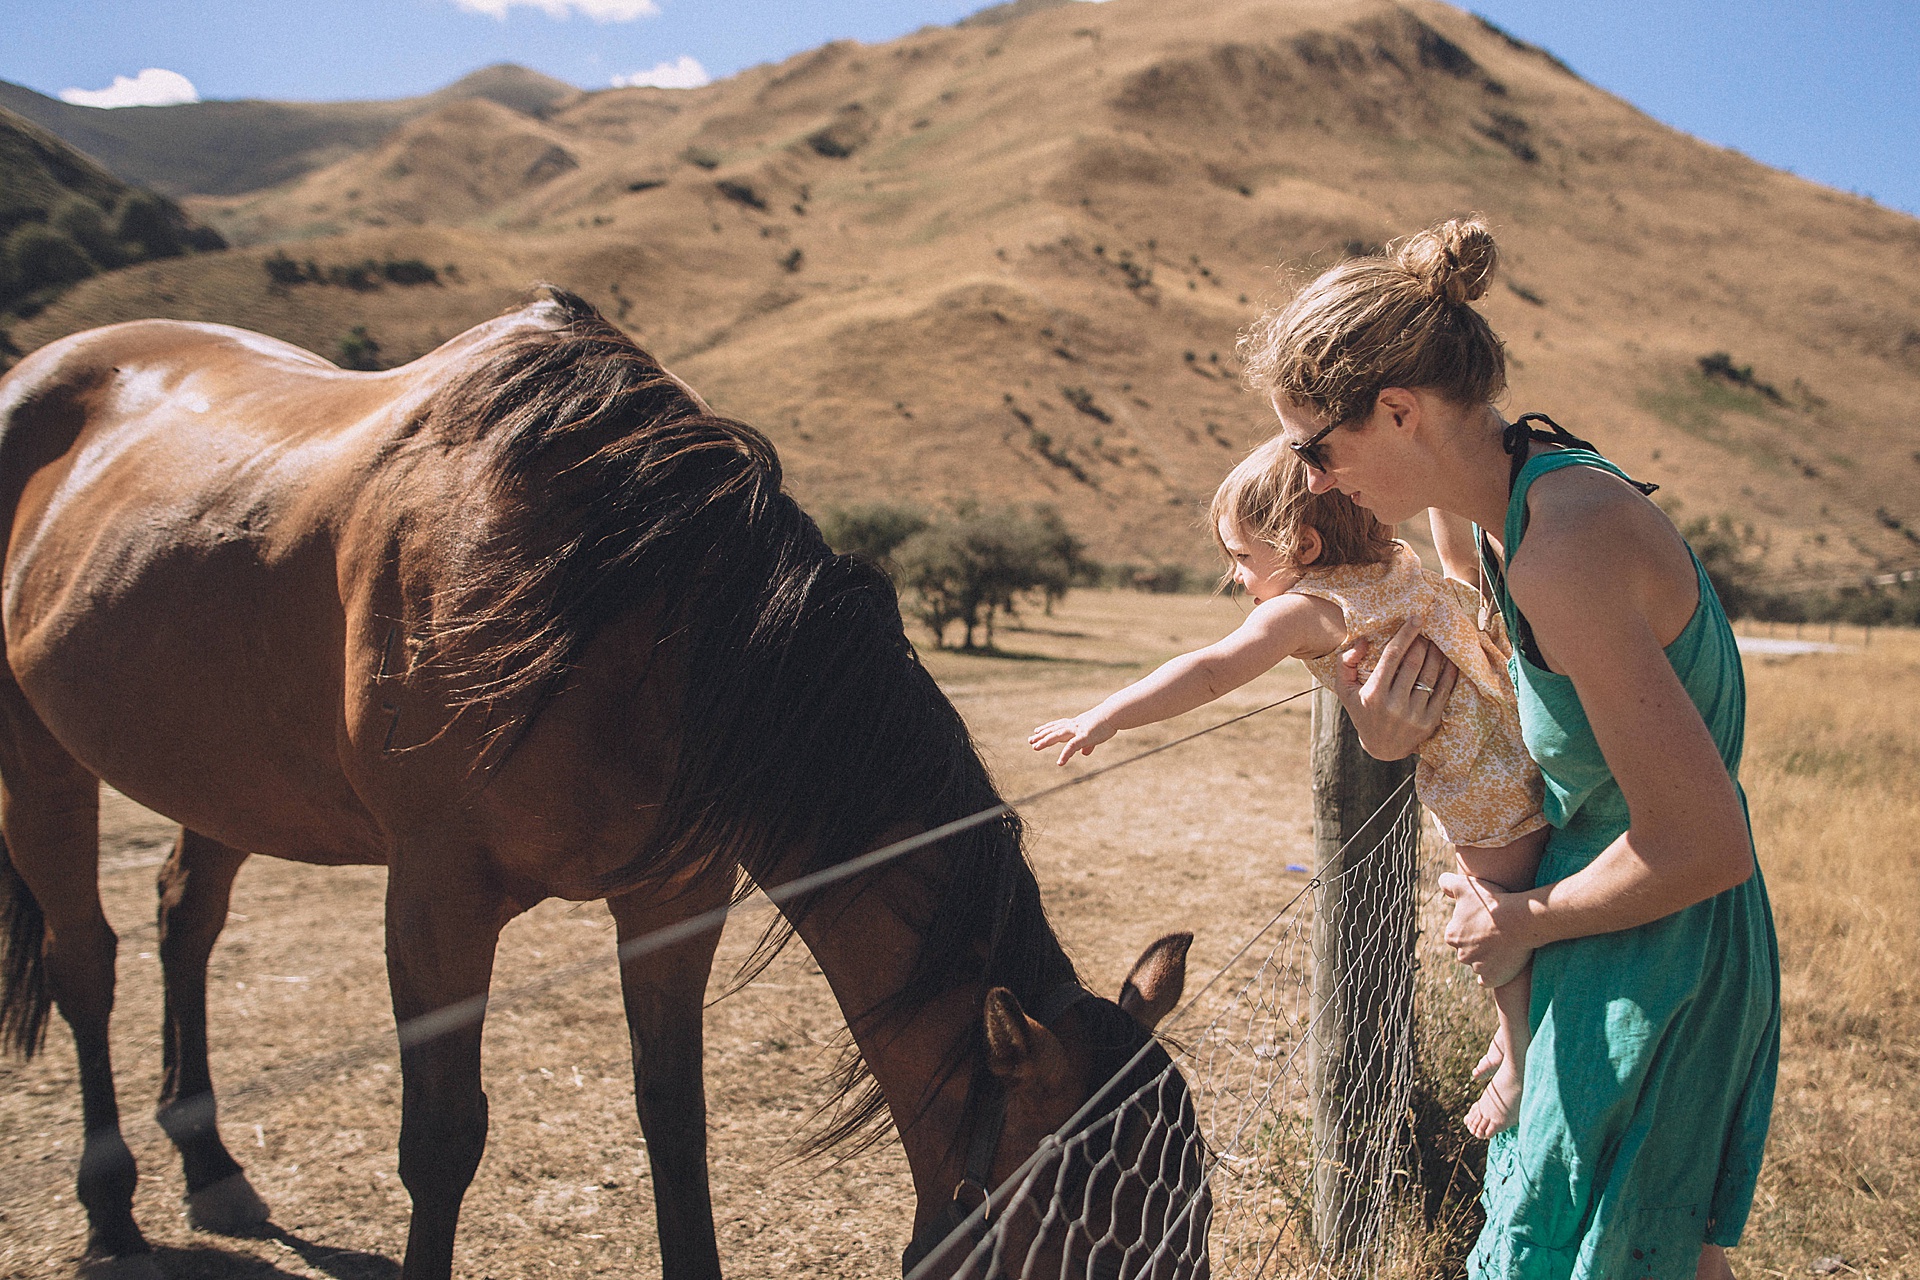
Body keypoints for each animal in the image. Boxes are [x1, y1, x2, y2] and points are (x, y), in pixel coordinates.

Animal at [0, 293, 1198, 1280]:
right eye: (1087, 1237)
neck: (617, 597)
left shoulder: (673, 904)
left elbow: (676, 1120)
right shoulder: (435, 900)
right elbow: (441, 1141)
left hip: (221, 780)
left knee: (184, 920)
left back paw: (210, 1165)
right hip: (43, 760)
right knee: (86, 961)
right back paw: (112, 1214)